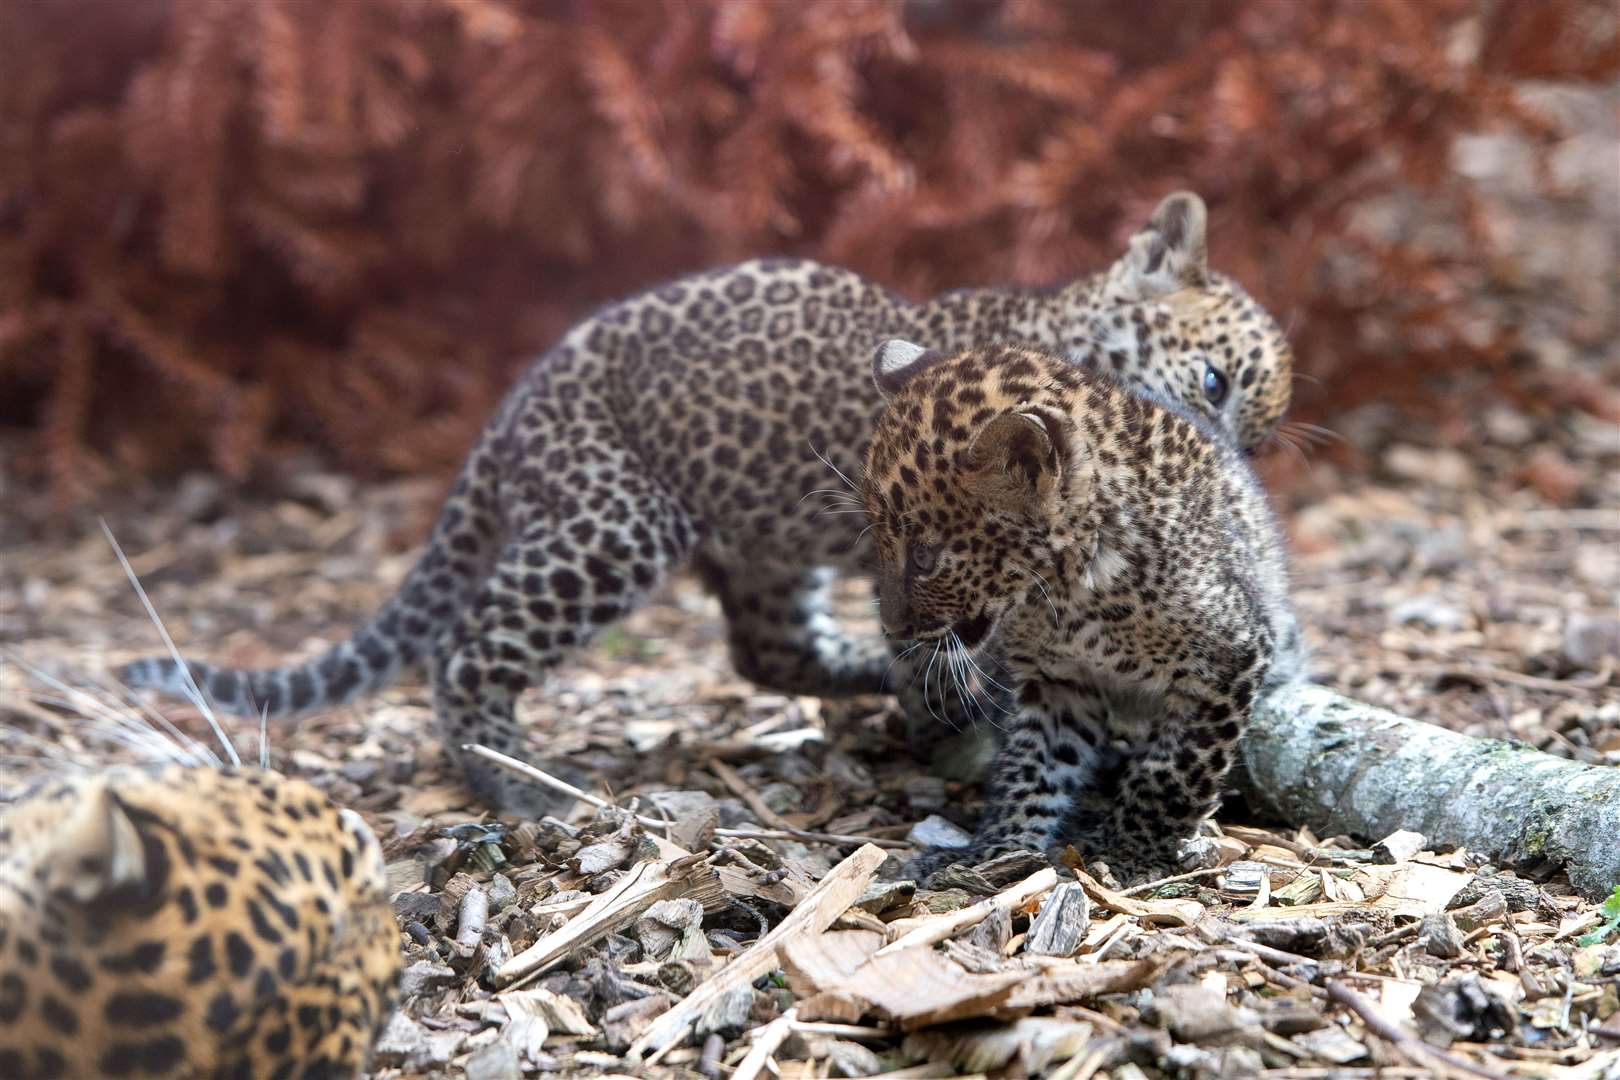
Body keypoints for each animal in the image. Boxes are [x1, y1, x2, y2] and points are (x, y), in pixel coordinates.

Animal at [119, 191, 1296, 809]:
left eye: (1255, 430)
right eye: (1213, 381)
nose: (1226, 460)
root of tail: (509, 414)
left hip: (766, 545)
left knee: (766, 652)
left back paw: (856, 677)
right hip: (614, 519)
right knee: (468, 645)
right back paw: (517, 783)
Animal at [861, 341, 1302, 880]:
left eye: (924, 556)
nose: (892, 626)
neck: (1068, 600)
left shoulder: (1229, 660)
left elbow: (1176, 769)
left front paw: (1132, 849)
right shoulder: (1057, 683)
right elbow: (1033, 764)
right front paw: (997, 848)